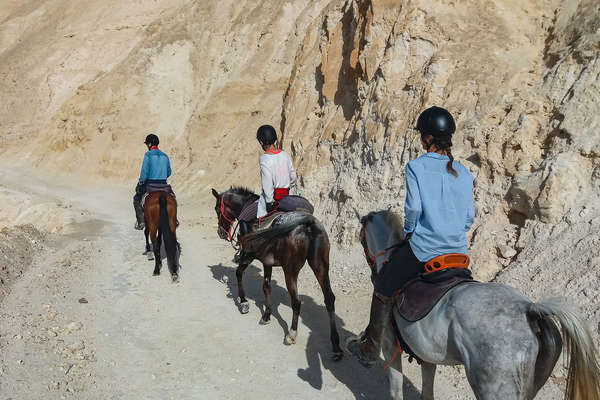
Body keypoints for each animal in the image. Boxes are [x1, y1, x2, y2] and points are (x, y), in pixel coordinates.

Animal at [211, 188, 342, 360]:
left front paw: (244, 303)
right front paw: (267, 315)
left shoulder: (248, 256)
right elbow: (266, 286)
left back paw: (291, 334)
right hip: (320, 266)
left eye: (216, 208)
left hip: (290, 270)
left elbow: (239, 274)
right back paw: (336, 345)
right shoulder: (267, 262)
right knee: (329, 299)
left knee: (297, 301)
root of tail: (308, 224)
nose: (220, 232)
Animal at [354, 211, 596, 398]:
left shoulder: (389, 347)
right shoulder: (427, 355)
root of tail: (530, 311)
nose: (374, 274)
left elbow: (396, 391)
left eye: (361, 238)